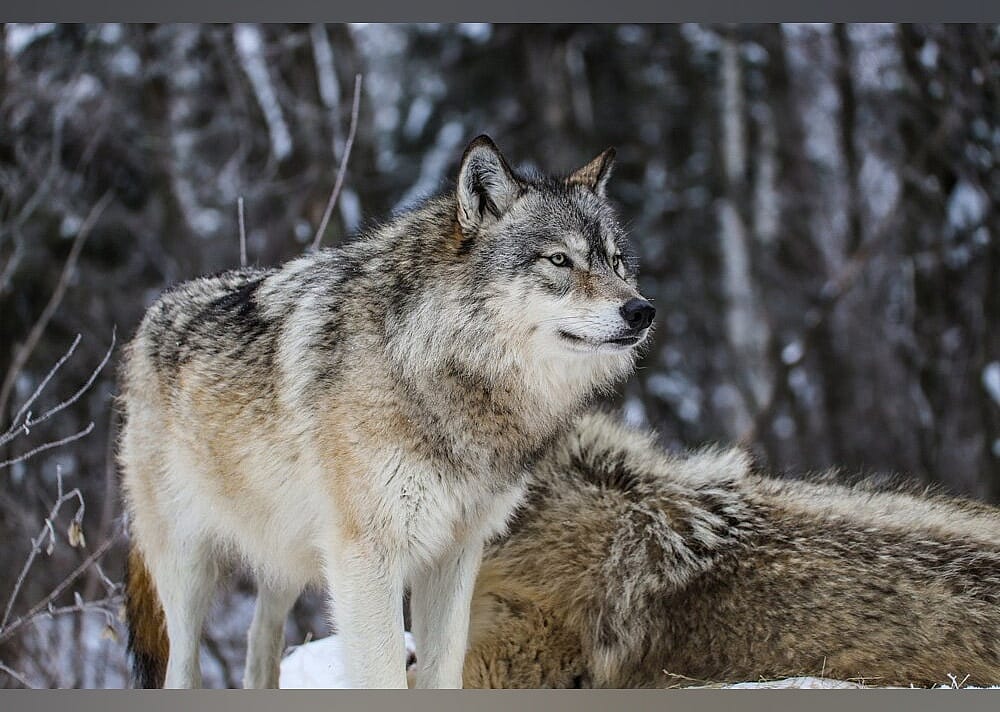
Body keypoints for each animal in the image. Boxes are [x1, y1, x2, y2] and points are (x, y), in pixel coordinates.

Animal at [119, 136, 654, 689]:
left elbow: (444, 669)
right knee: (182, 668)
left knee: (258, 643)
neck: (433, 364)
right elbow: (385, 674)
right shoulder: (367, 558)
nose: (642, 311)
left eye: (617, 262)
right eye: (560, 259)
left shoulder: (457, 552)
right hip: (188, 567)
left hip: (286, 559)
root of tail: (151, 315)